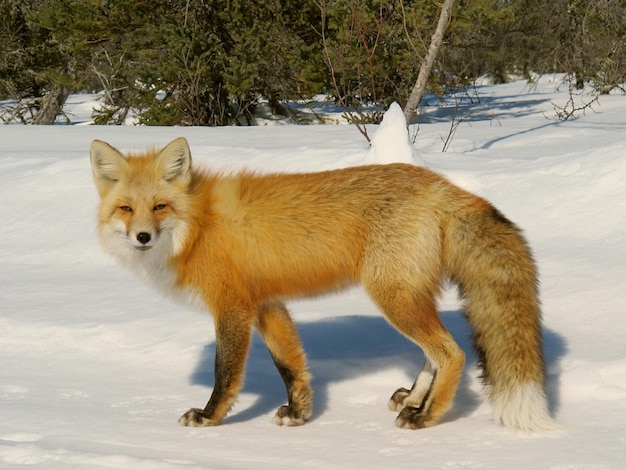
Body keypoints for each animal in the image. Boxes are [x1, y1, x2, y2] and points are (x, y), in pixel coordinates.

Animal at [89, 136, 556, 430]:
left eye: (160, 207)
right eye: (126, 209)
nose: (142, 237)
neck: (200, 226)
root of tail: (442, 185)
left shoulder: (233, 306)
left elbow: (225, 373)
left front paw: (209, 417)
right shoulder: (267, 304)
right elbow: (290, 366)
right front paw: (299, 414)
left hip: (392, 297)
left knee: (452, 353)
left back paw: (425, 416)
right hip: (408, 297)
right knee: (435, 354)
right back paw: (413, 399)